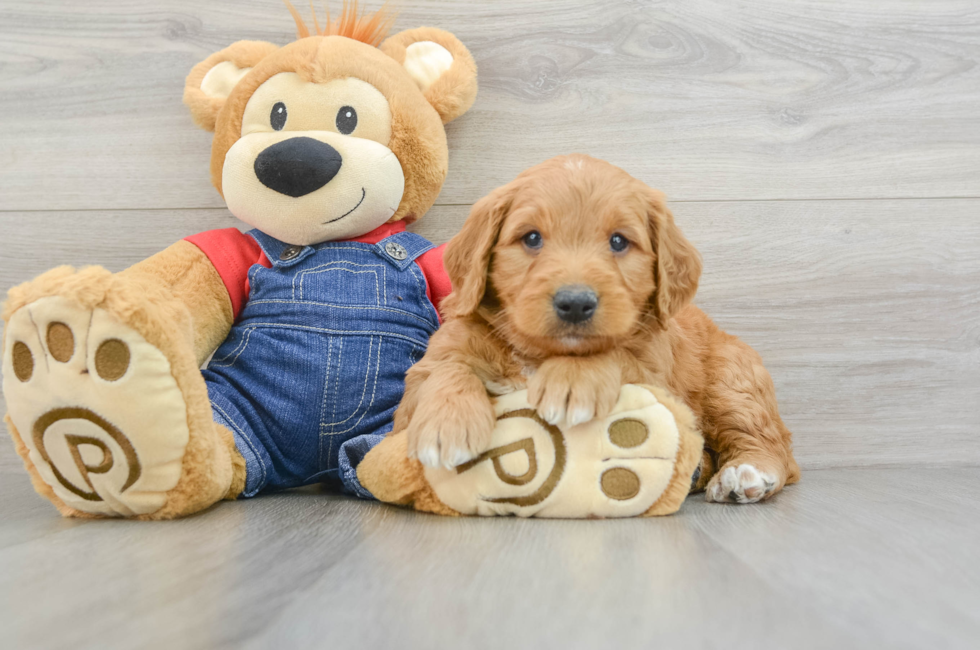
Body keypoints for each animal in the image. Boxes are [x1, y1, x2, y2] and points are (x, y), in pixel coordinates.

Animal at [394, 154, 800, 504]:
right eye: (531, 238)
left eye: (619, 241)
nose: (575, 303)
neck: (541, 356)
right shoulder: (431, 366)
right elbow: (443, 369)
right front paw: (446, 424)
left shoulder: (657, 378)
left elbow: (617, 353)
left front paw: (573, 378)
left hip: (732, 381)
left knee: (771, 442)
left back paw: (745, 474)